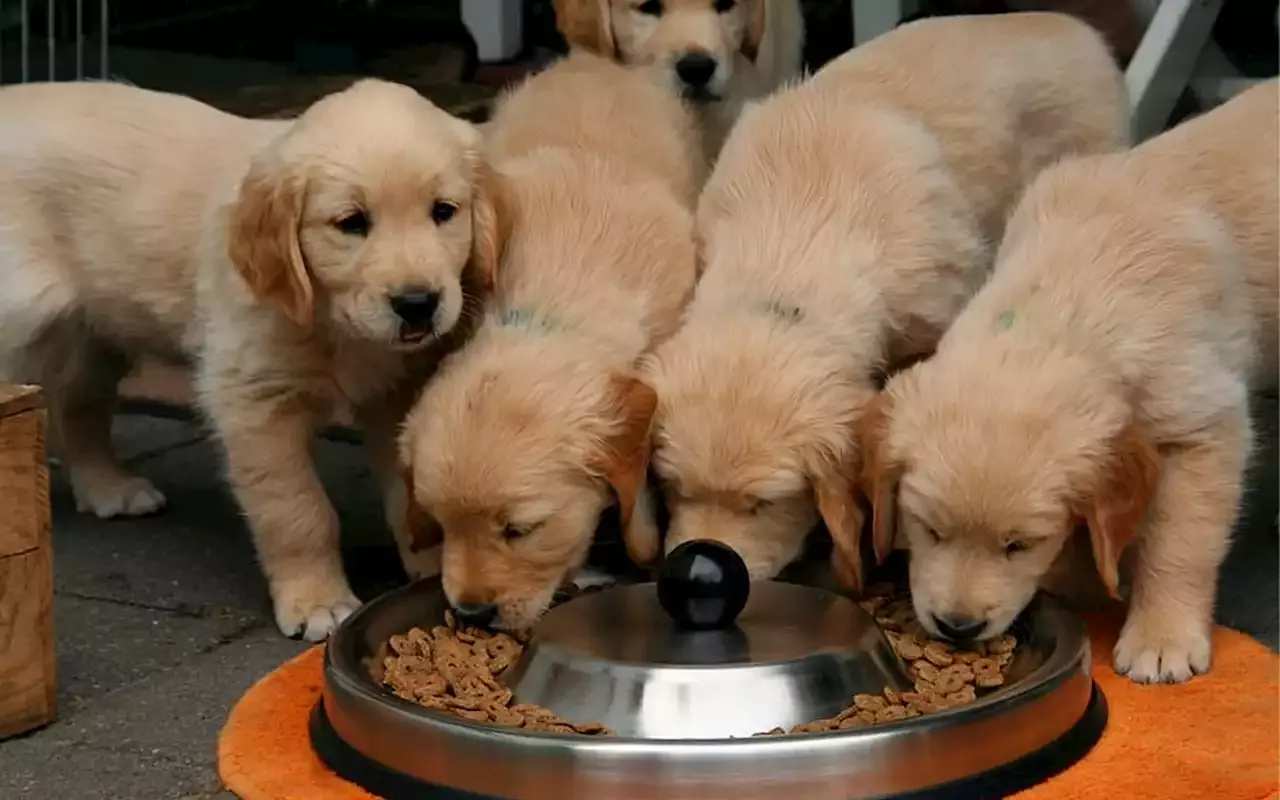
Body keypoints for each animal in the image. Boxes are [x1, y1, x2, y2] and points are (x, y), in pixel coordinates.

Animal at [0, 79, 494, 642]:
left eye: (444, 211)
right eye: (351, 223)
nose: (417, 304)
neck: (331, 320)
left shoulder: (398, 390)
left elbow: (406, 489)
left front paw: (430, 569)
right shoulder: (254, 401)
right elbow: (297, 510)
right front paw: (316, 600)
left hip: (92, 331)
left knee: (75, 405)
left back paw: (109, 487)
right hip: (24, 319)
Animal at [860, 79, 1280, 680]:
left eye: (1020, 545)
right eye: (929, 529)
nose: (957, 627)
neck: (1065, 303)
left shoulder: (1205, 424)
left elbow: (1179, 542)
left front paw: (1163, 637)